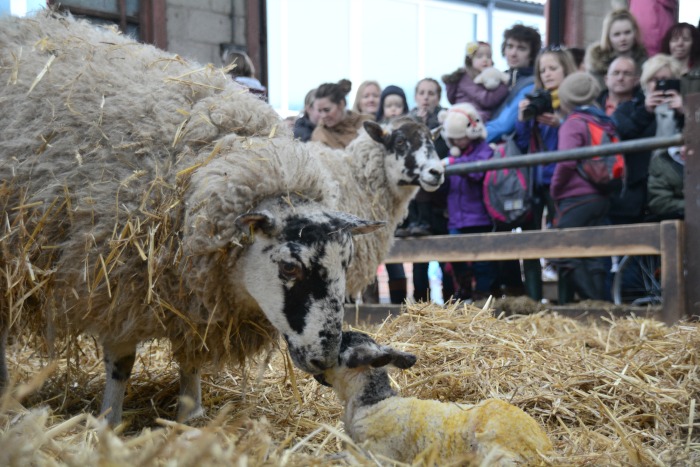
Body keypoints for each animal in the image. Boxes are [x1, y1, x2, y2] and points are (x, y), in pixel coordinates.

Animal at [1, 11, 382, 428]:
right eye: (289, 268)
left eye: (346, 263)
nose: (325, 358)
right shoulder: (118, 287)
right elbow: (122, 361)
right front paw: (109, 419)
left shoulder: (192, 303)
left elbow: (192, 358)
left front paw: (190, 415)